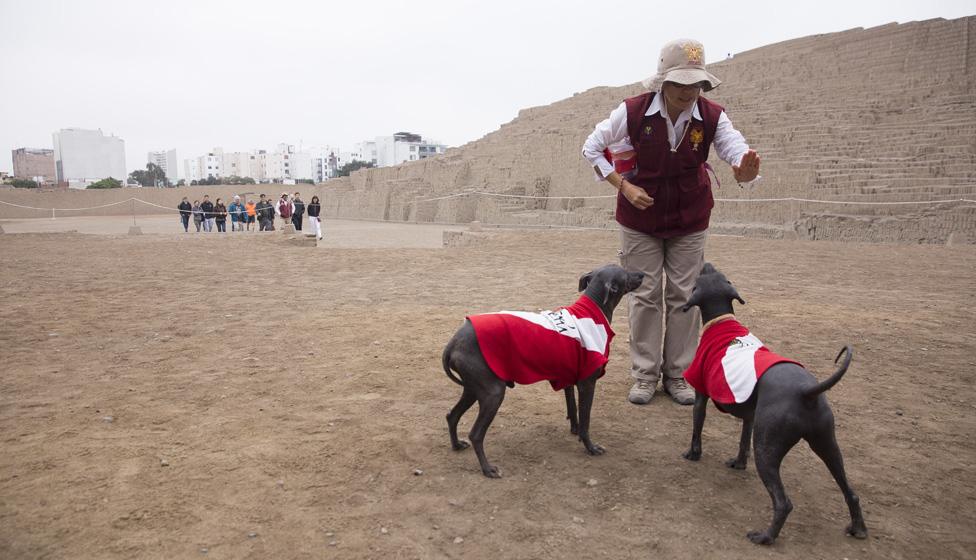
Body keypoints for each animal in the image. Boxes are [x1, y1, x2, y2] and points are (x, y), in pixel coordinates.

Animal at [440, 264, 640, 480]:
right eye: (625, 272)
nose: (642, 274)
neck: (591, 311)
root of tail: (453, 342)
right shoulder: (587, 383)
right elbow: (585, 422)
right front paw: (590, 447)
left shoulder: (568, 379)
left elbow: (573, 410)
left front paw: (574, 431)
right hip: (492, 393)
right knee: (475, 434)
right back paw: (488, 469)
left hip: (473, 389)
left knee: (452, 415)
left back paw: (456, 445)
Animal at [680, 264, 868, 548]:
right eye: (722, 277)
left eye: (699, 280)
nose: (707, 263)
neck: (722, 320)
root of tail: (806, 392)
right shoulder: (750, 416)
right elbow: (742, 442)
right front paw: (738, 463)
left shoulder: (701, 395)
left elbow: (696, 429)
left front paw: (693, 455)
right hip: (827, 444)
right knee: (851, 492)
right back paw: (858, 528)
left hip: (767, 449)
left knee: (783, 503)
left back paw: (765, 536)